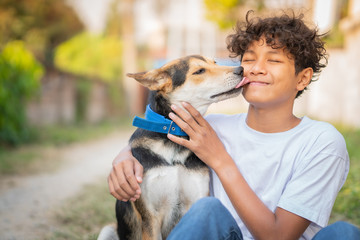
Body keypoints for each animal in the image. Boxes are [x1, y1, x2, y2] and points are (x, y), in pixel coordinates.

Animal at [98, 55, 248, 240]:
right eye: (199, 71)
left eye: (215, 63)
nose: (241, 69)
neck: (174, 141)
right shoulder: (150, 217)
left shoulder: (198, 199)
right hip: (108, 230)